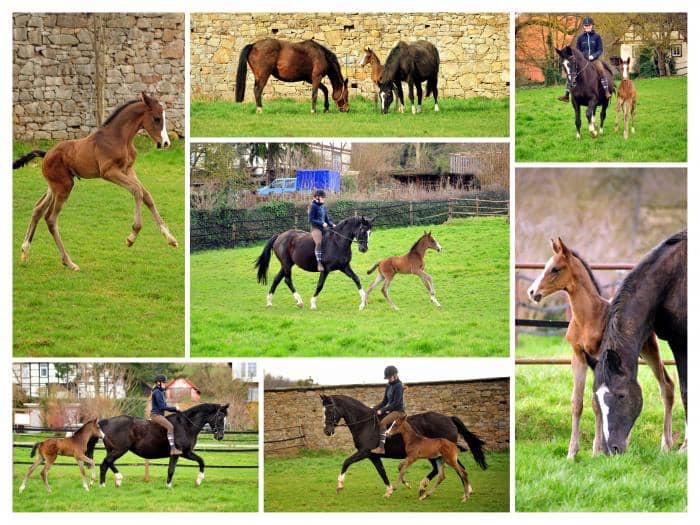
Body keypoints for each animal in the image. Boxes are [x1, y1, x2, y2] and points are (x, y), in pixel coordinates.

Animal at [14, 92, 179, 270]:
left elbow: (146, 195)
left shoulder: (128, 169)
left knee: (38, 210)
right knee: (51, 218)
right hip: (65, 186)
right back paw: (68, 262)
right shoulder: (108, 172)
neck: (119, 137)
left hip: (54, 187)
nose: (165, 143)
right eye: (156, 118)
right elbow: (137, 190)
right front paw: (132, 236)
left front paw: (170, 238)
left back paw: (25, 251)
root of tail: (46, 155)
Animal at [528, 238, 676, 458]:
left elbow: (596, 403)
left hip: (649, 347)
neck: (587, 317)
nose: (532, 292)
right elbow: (577, 402)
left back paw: (666, 445)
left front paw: (597, 451)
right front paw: (572, 454)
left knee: (666, 386)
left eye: (555, 269)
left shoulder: (599, 357)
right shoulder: (578, 356)